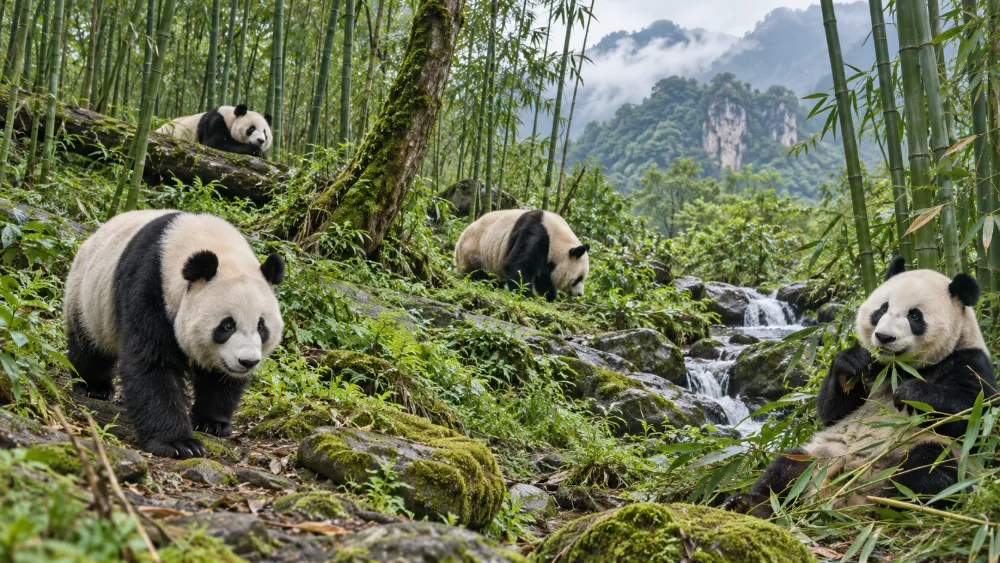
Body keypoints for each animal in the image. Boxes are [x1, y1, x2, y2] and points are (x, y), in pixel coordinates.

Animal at [64, 210, 285, 459]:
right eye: (227, 325)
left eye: (261, 326)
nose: (247, 361)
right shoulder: (149, 286)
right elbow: (152, 362)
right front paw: (179, 443)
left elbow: (220, 378)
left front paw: (212, 423)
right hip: (88, 297)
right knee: (89, 346)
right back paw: (94, 386)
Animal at [454, 209, 589, 301]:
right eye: (579, 278)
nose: (580, 294)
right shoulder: (535, 233)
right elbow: (519, 266)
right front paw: (528, 295)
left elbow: (544, 277)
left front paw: (549, 297)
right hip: (475, 249)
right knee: (477, 272)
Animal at [725, 257, 996, 518]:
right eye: (882, 308)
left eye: (915, 316)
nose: (884, 337)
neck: (898, 367)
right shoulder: (874, 369)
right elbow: (833, 412)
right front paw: (851, 363)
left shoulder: (967, 361)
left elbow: (974, 415)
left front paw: (912, 393)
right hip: (822, 454)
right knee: (786, 468)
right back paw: (749, 504)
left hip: (922, 451)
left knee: (928, 470)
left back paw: (889, 505)